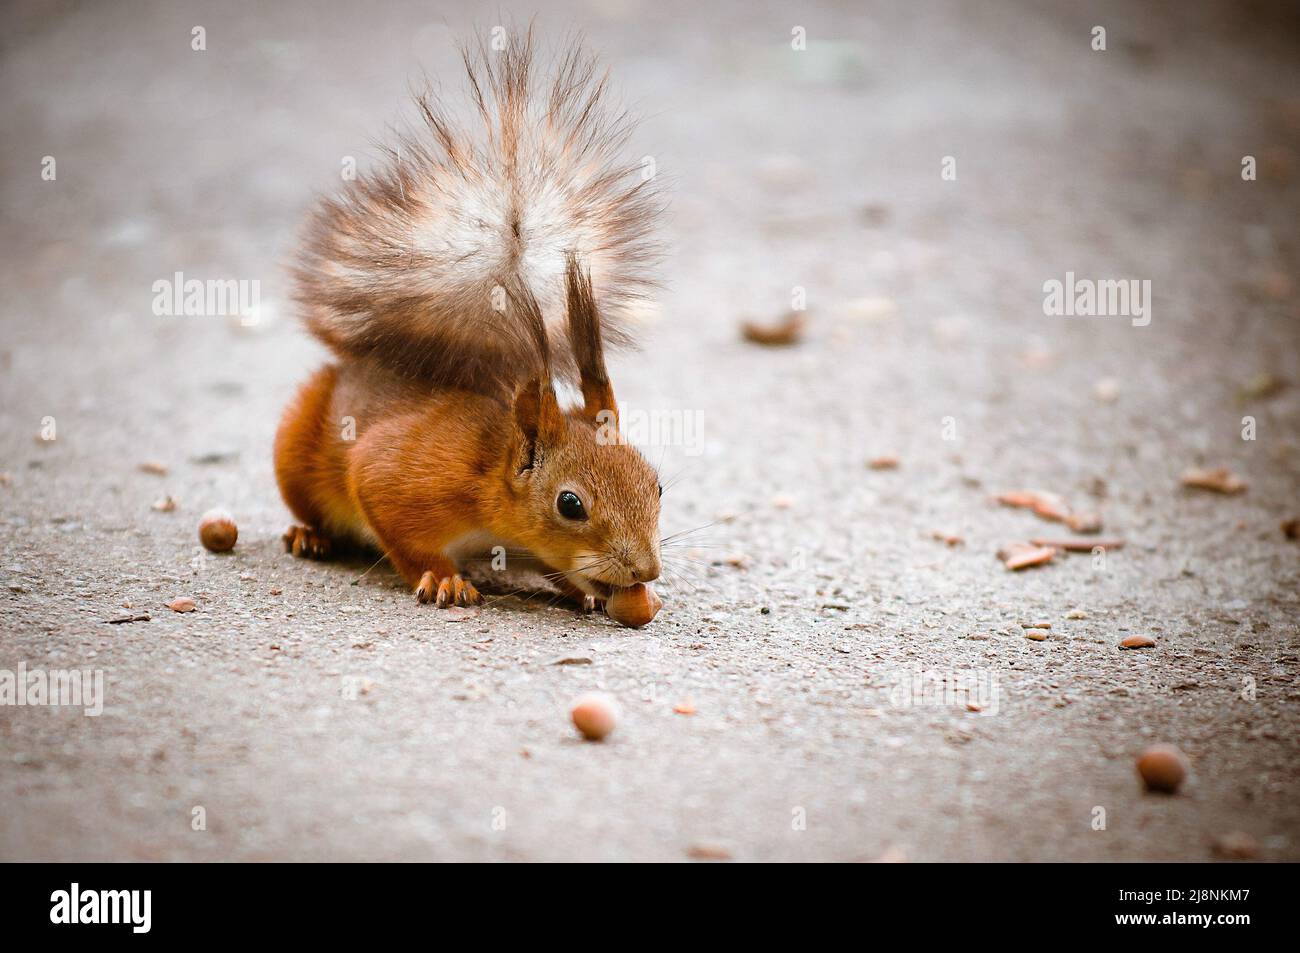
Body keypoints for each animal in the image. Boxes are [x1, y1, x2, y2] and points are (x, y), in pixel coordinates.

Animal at [273, 31, 664, 619]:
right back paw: (309, 534)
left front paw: (587, 592)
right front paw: (443, 578)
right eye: (570, 504)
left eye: (656, 484)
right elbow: (399, 529)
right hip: (295, 451)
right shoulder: (402, 477)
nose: (647, 570)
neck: (491, 475)